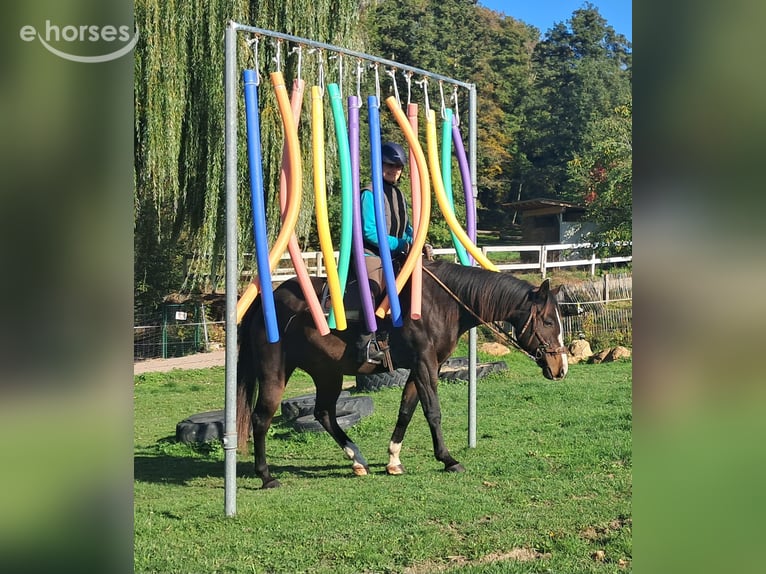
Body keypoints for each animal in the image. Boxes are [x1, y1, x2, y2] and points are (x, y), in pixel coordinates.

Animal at [236, 259, 568, 488]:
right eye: (549, 321)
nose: (561, 368)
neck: (440, 303)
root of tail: (267, 300)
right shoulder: (424, 364)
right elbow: (432, 411)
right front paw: (448, 459)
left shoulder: (423, 366)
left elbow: (407, 410)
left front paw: (394, 459)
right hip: (275, 372)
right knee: (261, 419)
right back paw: (266, 476)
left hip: (327, 373)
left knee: (324, 414)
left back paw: (358, 460)